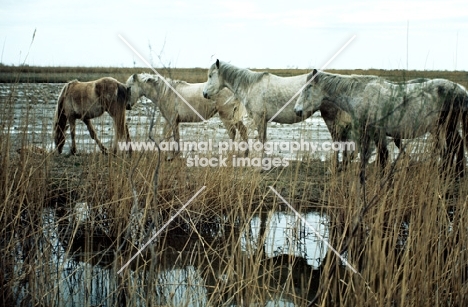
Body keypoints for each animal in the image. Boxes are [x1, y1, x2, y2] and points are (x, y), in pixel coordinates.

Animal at [294, 69, 468, 180]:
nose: (297, 110)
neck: (361, 94)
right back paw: (450, 173)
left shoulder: (375, 131)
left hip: (447, 126)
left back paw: (454, 174)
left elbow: (382, 156)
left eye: (308, 88)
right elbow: (373, 156)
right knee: (453, 147)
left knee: (454, 146)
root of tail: (461, 90)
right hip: (440, 128)